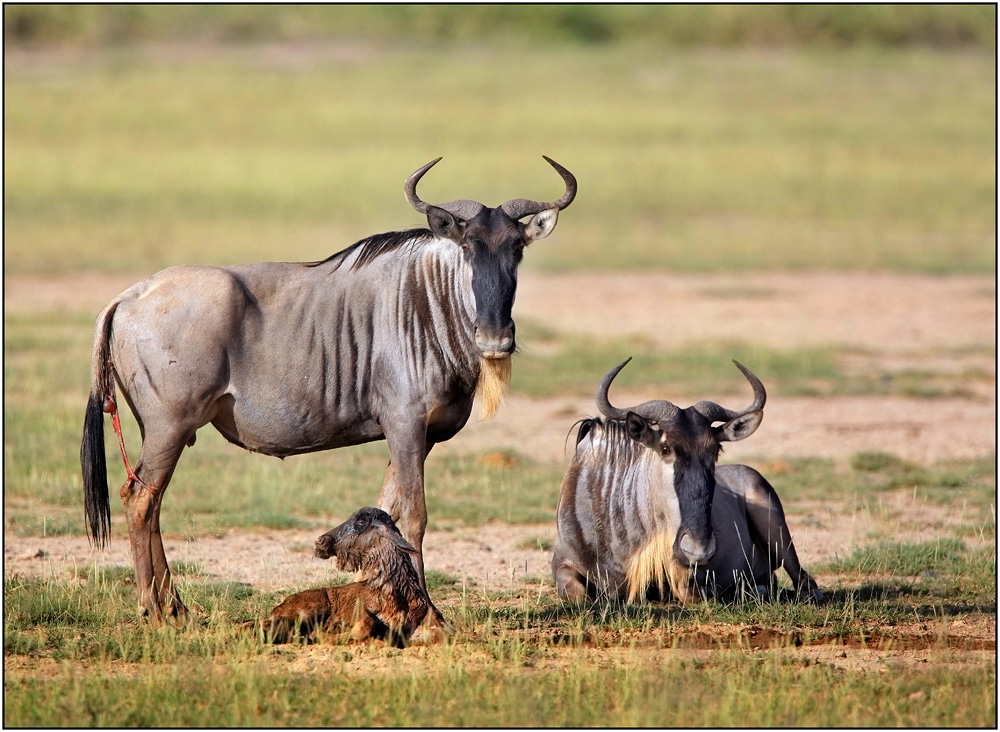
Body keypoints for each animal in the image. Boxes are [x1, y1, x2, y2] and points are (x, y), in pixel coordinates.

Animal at [252, 508, 428, 648]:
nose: (320, 541)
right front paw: (324, 635)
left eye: (361, 521)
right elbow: (364, 624)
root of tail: (279, 605)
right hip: (307, 610)